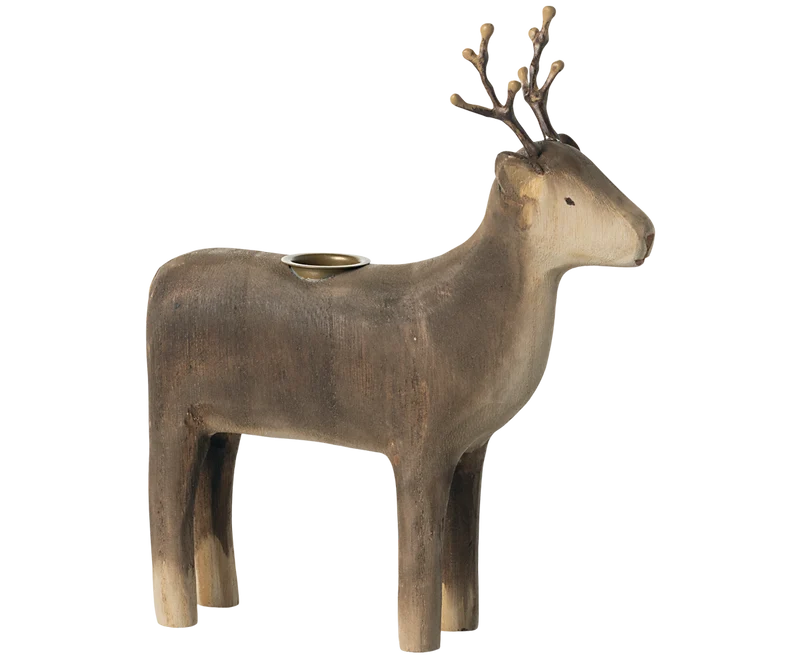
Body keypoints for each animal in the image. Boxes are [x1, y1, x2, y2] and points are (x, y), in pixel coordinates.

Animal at [144, 5, 655, 654]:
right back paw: (178, 618)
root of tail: (159, 284)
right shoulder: (419, 441)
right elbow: (417, 567)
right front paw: (420, 641)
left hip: (219, 422)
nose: (647, 234)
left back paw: (221, 603)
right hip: (172, 412)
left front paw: (461, 626)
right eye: (568, 200)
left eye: (596, 169)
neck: (478, 319)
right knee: (165, 513)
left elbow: (460, 555)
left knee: (210, 491)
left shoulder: (469, 448)